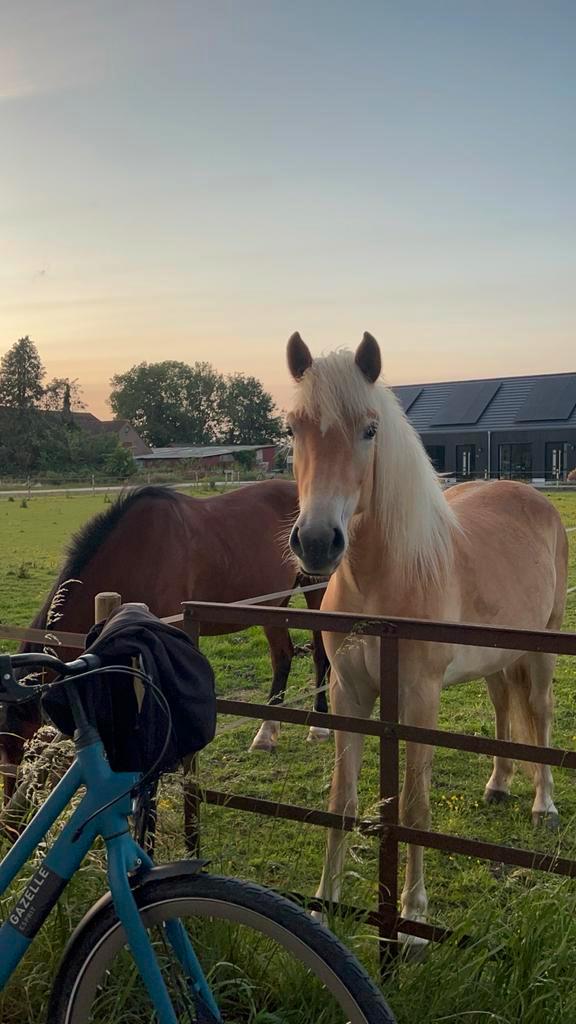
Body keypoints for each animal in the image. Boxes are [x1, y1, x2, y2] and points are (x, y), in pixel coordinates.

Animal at [0, 481, 330, 800]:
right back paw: (266, 734)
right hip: (274, 605)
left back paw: (318, 726)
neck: (134, 553)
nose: (12, 813)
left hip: (317, 591)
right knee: (283, 655)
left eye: (26, 751)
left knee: (319, 654)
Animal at [285, 331, 568, 948]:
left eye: (370, 430)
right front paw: (323, 906)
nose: (317, 542)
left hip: (542, 649)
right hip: (495, 658)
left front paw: (413, 922)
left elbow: (414, 809)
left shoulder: (419, 699)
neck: (381, 580)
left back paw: (543, 803)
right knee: (502, 704)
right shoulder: (348, 695)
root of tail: (535, 499)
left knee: (538, 715)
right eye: (293, 428)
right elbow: (341, 801)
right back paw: (498, 784)